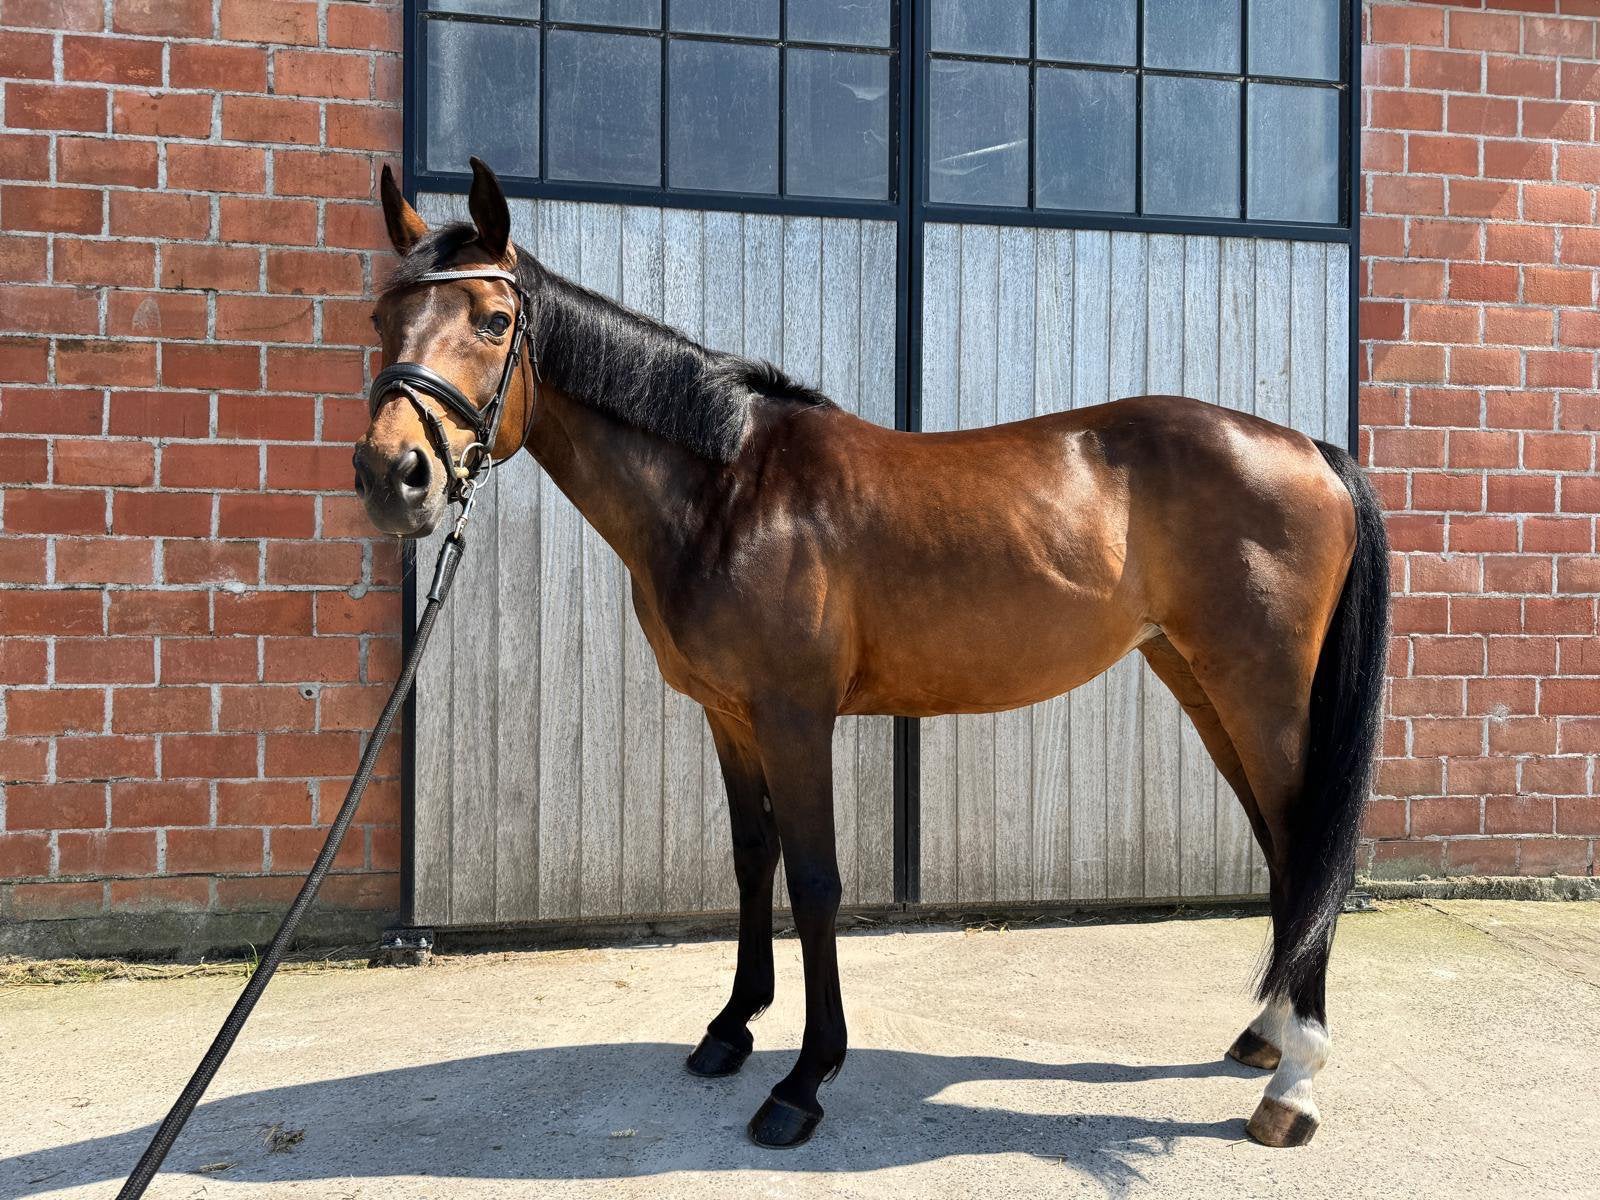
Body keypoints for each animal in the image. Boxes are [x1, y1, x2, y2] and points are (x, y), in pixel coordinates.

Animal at [355, 159, 1388, 1151]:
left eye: (494, 321)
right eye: (381, 317)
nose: (392, 476)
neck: (727, 491)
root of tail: (1310, 449)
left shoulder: (794, 717)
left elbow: (815, 882)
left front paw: (803, 1082)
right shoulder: (728, 716)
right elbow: (752, 859)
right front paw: (729, 1031)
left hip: (1263, 695)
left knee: (1303, 842)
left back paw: (1294, 1088)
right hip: (1202, 684)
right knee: (1284, 848)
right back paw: (1265, 1041)